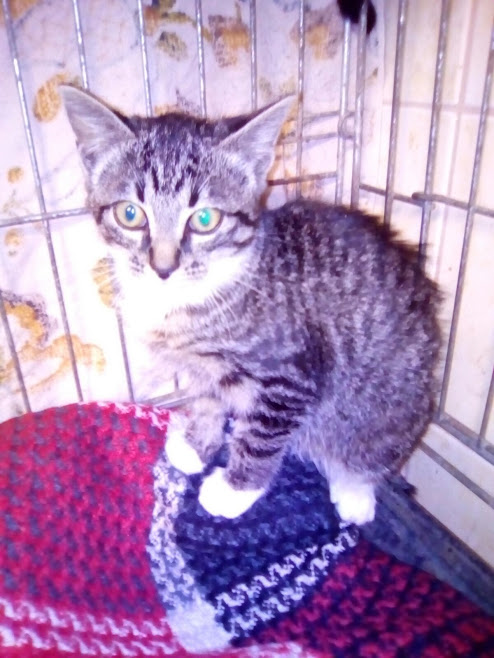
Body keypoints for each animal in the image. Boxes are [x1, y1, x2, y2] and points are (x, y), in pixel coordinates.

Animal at [62, 86, 440, 525]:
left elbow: (262, 434)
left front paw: (234, 489)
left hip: (391, 406)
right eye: (130, 214)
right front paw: (197, 444)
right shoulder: (199, 365)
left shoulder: (291, 374)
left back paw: (354, 491)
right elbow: (206, 399)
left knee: (369, 451)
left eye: (205, 219)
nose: (163, 267)